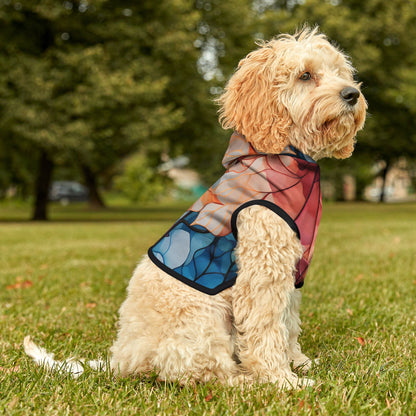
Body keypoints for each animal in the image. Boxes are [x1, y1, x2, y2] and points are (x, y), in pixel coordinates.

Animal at [24, 27, 366, 388]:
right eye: (305, 75)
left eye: (340, 72)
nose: (352, 94)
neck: (283, 158)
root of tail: (122, 359)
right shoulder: (262, 269)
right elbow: (266, 328)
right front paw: (281, 380)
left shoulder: (290, 271)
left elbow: (288, 323)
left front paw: (299, 363)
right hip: (202, 318)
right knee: (201, 371)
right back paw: (244, 380)